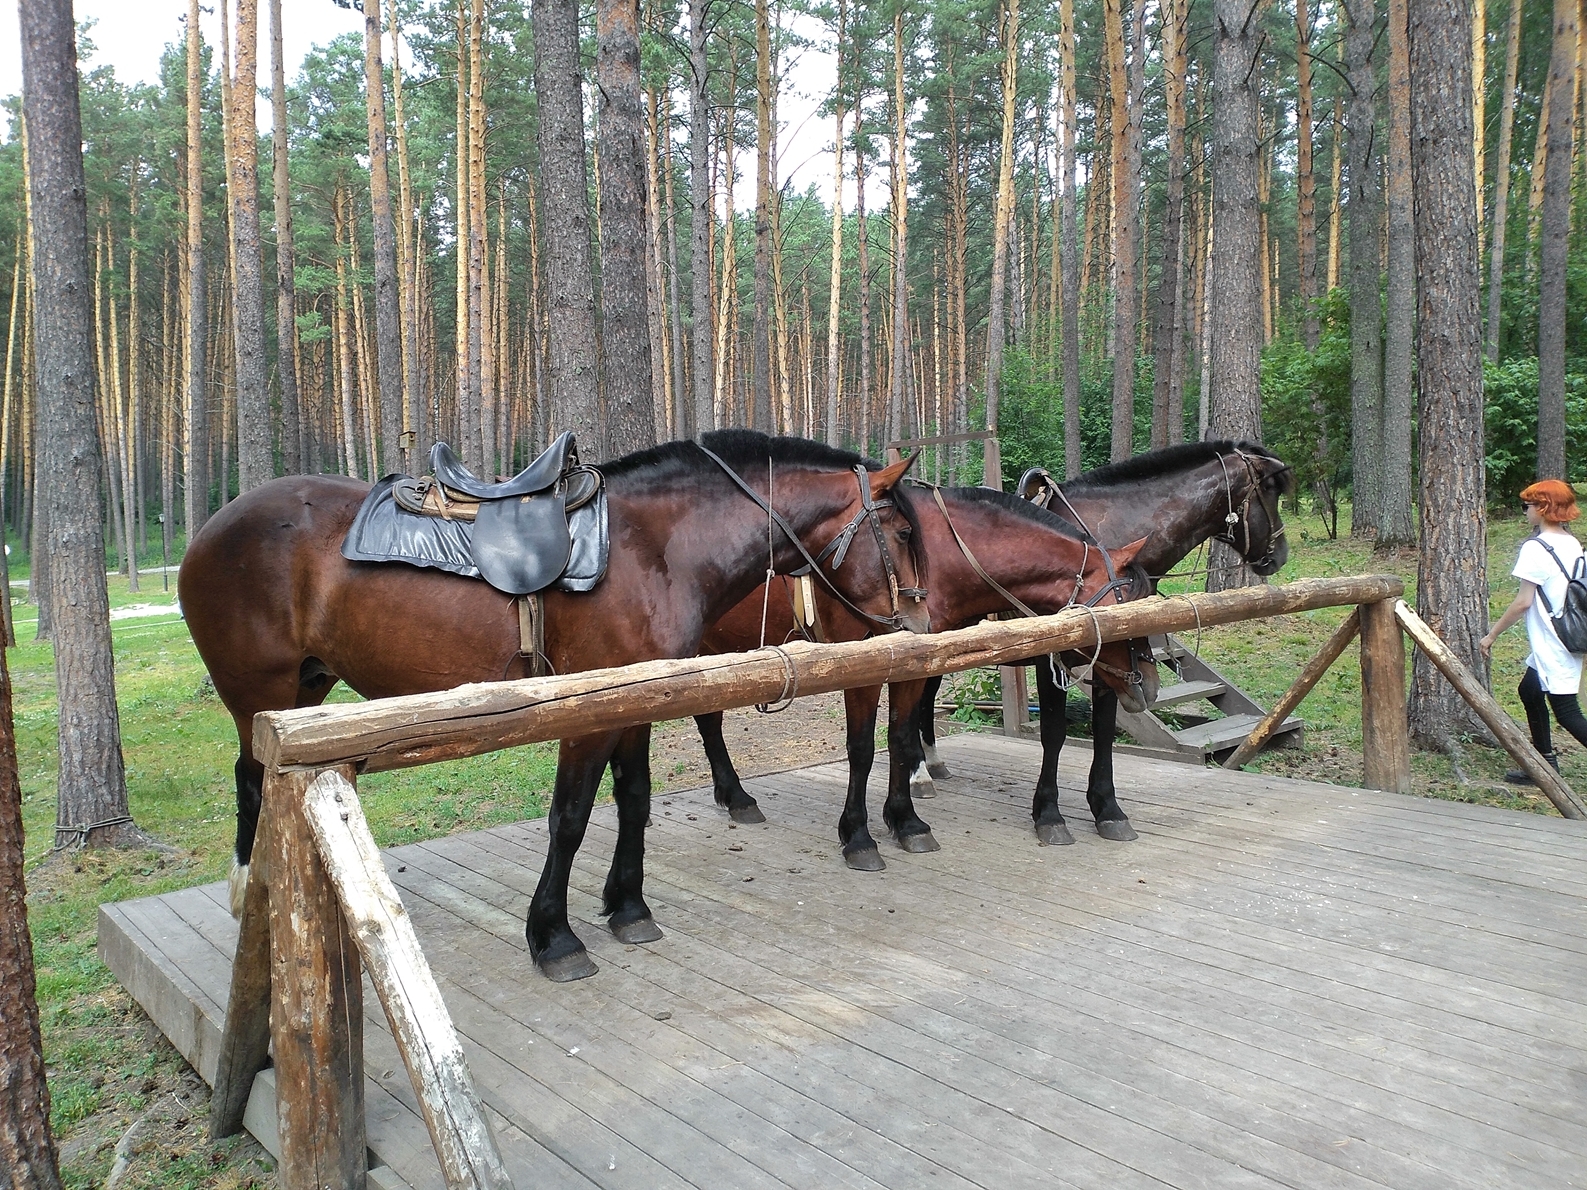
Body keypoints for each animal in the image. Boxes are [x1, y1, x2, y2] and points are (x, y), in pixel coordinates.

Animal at [180, 434, 926, 983]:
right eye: (900, 532)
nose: (920, 626)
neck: (654, 548)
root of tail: (211, 527)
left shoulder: (636, 702)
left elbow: (633, 800)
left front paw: (627, 906)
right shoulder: (586, 712)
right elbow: (569, 818)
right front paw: (554, 937)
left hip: (305, 687)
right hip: (263, 695)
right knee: (256, 784)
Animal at [695, 488, 1155, 869]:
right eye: (1125, 613)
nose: (1148, 685)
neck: (932, 560)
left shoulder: (913, 666)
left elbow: (901, 738)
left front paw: (905, 821)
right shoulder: (863, 670)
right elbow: (863, 749)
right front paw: (858, 835)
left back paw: (734, 796)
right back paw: (737, 796)